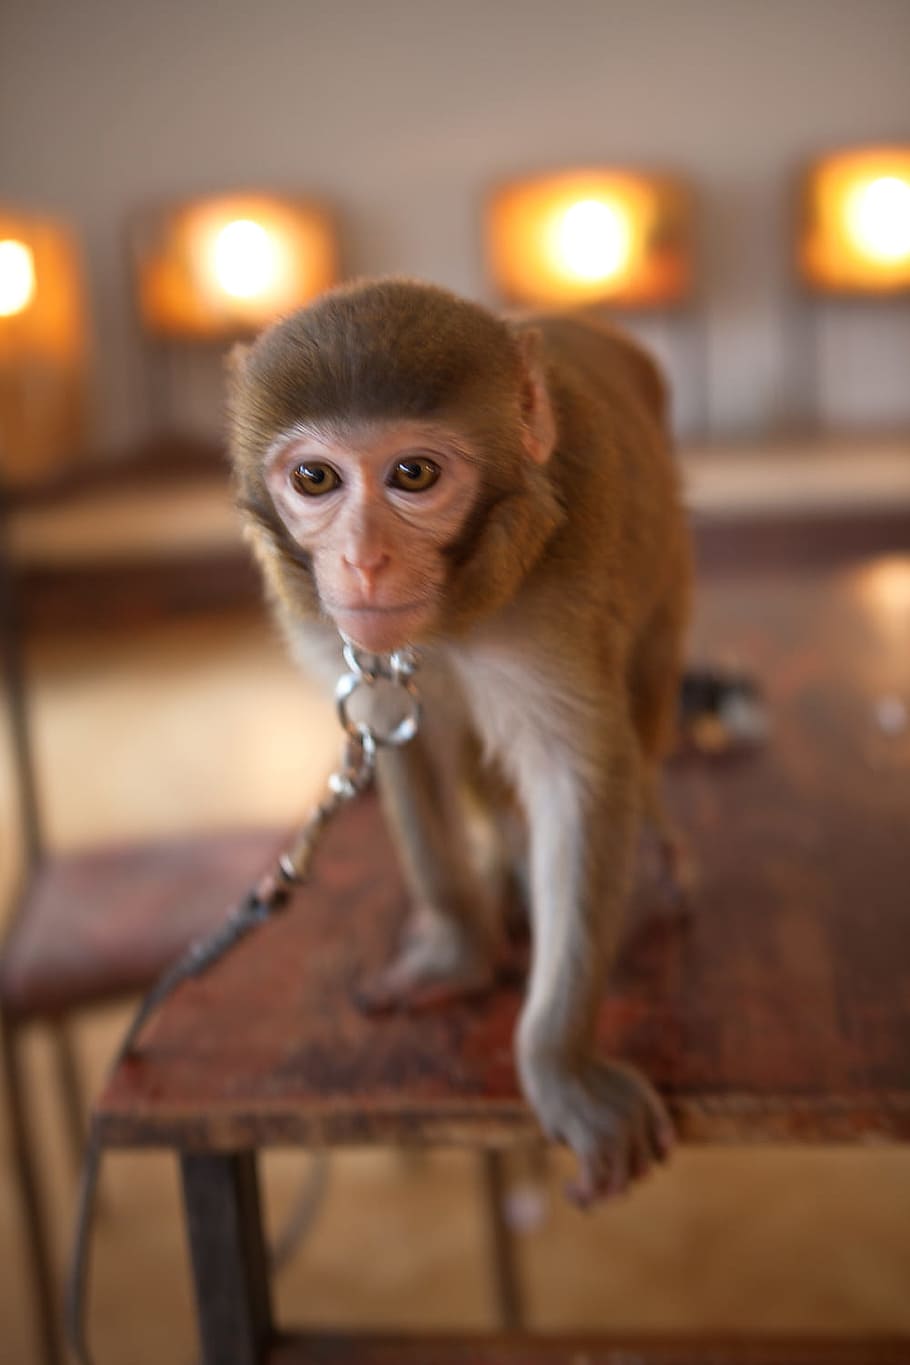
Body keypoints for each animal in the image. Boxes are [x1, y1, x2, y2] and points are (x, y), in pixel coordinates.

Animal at [228, 278, 692, 1205]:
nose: (363, 562)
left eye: (414, 474)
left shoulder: (559, 596)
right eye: (315, 478)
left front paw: (561, 1064)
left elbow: (577, 778)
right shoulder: (346, 638)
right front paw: (456, 950)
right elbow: (399, 738)